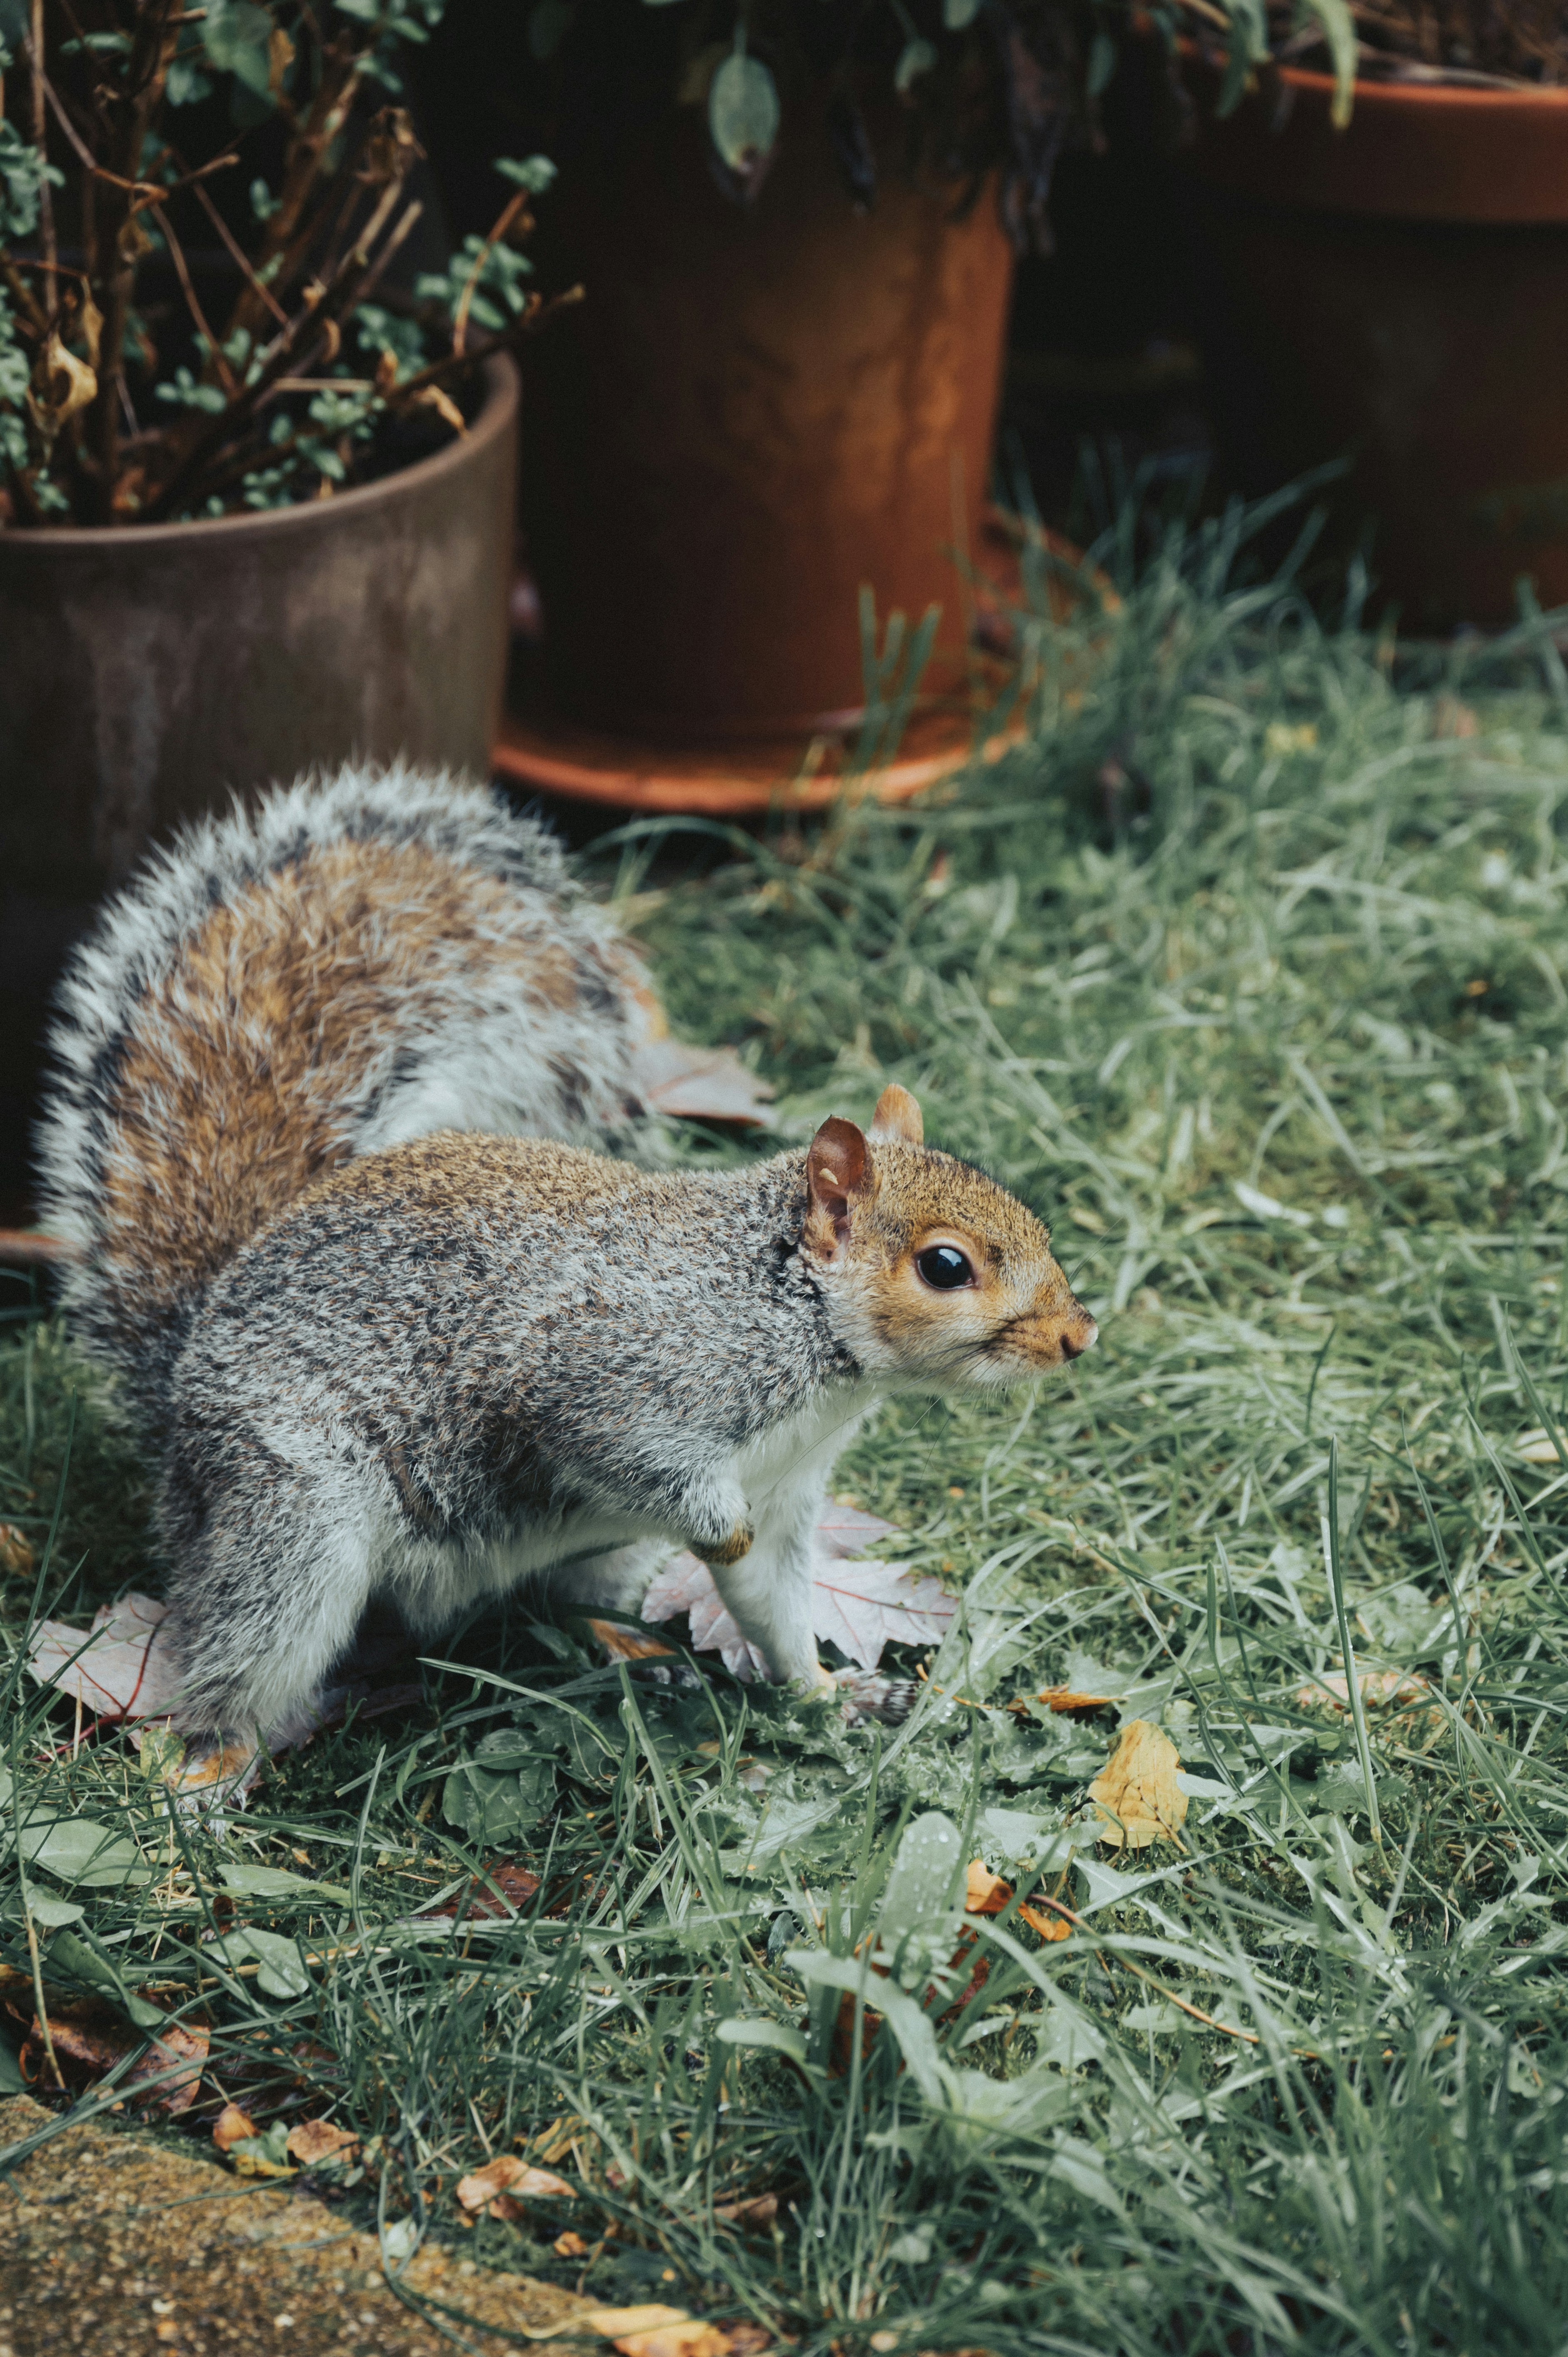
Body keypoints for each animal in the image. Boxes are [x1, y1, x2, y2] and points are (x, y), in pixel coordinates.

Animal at [36, 765, 1098, 1747]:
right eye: (945, 1266)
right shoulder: (615, 1373)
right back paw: (209, 1766)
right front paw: (720, 1536)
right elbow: (626, 1453)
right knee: (244, 1650)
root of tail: (183, 1378)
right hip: (289, 1512)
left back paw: (629, 1649)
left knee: (558, 1601)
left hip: (584, 1556)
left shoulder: (788, 1486)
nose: (1076, 1335)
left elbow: (772, 1605)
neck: (795, 1321)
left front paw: (825, 1694)